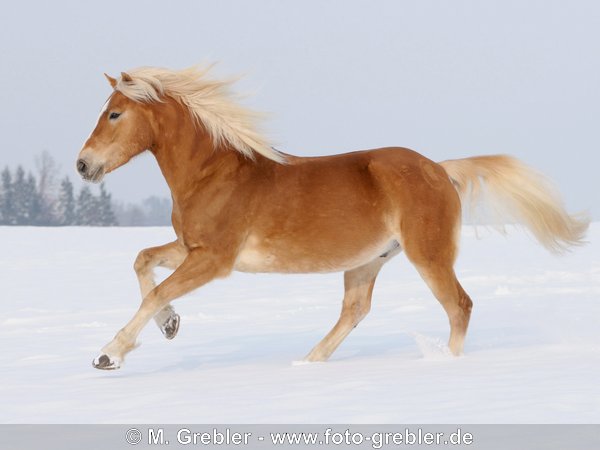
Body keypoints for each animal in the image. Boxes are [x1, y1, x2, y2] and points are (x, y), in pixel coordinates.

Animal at [77, 66, 588, 370]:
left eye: (115, 114)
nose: (83, 165)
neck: (214, 173)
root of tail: (440, 169)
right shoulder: (190, 248)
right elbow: (143, 262)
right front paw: (170, 326)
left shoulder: (215, 260)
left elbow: (156, 289)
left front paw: (109, 354)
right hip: (366, 261)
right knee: (355, 311)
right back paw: (308, 363)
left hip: (427, 254)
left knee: (458, 305)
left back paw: (445, 364)